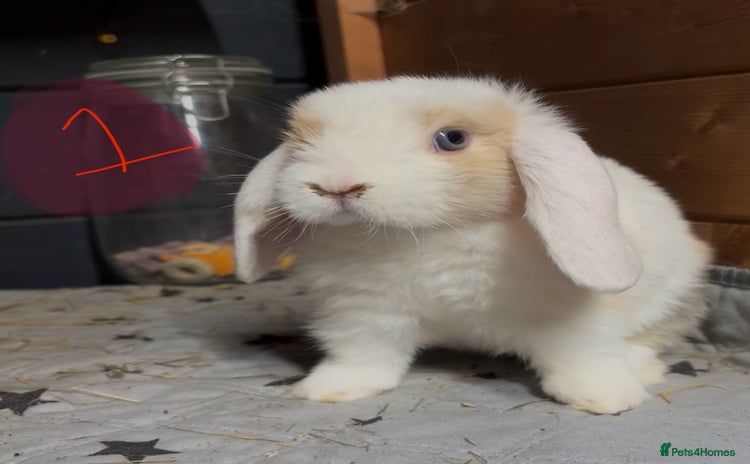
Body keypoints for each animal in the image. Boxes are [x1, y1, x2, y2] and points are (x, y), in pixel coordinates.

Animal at [233, 76, 711, 414]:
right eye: (302, 141)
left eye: (452, 139)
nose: (337, 185)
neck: (429, 235)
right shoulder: (362, 315)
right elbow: (364, 356)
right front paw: (328, 390)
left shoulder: (572, 322)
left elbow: (582, 357)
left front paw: (605, 399)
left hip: (676, 293)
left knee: (659, 332)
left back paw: (643, 368)